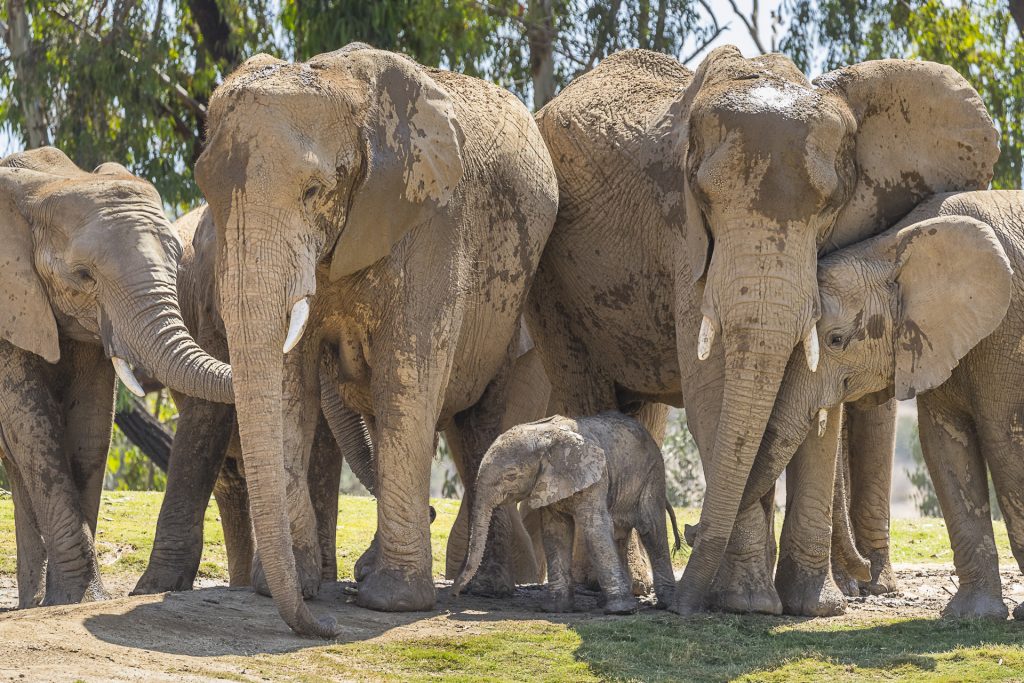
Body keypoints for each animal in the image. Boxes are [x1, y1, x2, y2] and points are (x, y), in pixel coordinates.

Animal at [0, 147, 232, 606]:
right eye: (83, 276)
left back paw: (31, 603)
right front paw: (80, 598)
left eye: (177, 262)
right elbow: (32, 424)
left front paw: (75, 600)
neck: (45, 185)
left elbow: (90, 429)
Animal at [194, 46, 557, 634]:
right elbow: (291, 383)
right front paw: (291, 586)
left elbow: (406, 380)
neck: (344, 86)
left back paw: (484, 587)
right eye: (207, 190)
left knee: (485, 424)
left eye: (314, 191)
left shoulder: (435, 220)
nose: (324, 627)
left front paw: (392, 603)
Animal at [454, 411, 675, 614]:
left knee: (651, 529)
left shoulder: (595, 475)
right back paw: (605, 602)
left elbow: (595, 529)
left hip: (652, 473)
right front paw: (555, 609)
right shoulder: (548, 483)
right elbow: (556, 532)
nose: (456, 593)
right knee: (620, 533)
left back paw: (664, 604)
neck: (544, 435)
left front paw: (620, 611)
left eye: (511, 476)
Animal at [532, 45, 995, 618]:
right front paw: (749, 604)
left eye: (829, 205)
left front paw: (814, 607)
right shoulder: (683, 240)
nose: (690, 531)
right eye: (704, 198)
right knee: (585, 385)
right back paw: (608, 592)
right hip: (554, 278)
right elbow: (713, 385)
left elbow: (816, 399)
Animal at [745, 191, 1024, 618]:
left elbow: (1004, 440)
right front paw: (971, 615)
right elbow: (943, 446)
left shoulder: (1007, 328)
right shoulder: (935, 340)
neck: (891, 248)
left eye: (836, 340)